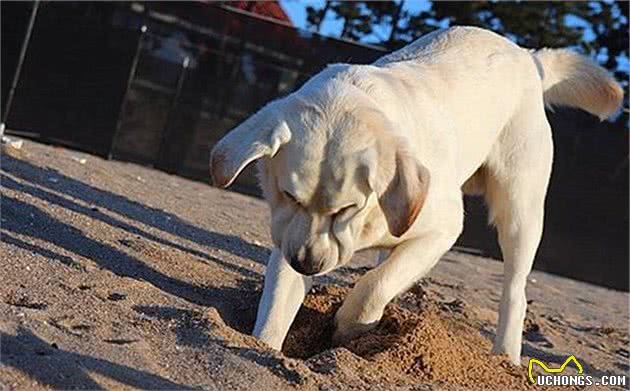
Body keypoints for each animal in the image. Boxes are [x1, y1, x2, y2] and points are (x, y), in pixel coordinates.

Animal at [210, 26, 624, 366]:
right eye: (288, 195)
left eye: (348, 207)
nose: (308, 264)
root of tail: (526, 55)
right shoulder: (290, 236)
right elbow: (277, 307)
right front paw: (264, 346)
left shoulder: (442, 229)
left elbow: (374, 286)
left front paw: (349, 324)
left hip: (520, 210)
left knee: (514, 289)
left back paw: (506, 355)